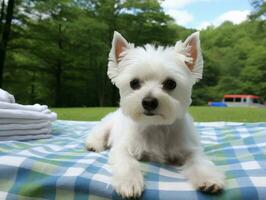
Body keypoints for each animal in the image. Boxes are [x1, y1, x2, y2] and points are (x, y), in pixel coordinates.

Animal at [85, 31, 224, 198]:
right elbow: (127, 162)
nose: (149, 102)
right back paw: (94, 145)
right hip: (106, 125)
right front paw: (129, 182)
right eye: (134, 83)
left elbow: (200, 162)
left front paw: (208, 179)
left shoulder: (190, 149)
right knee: (97, 134)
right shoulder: (122, 147)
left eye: (171, 83)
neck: (155, 126)